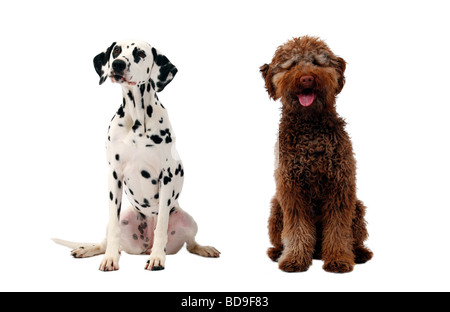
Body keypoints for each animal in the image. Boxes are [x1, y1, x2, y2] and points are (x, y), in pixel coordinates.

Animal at [53, 40, 219, 270]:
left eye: (140, 53)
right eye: (116, 50)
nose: (118, 64)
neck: (137, 120)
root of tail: (144, 246)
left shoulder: (166, 176)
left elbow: (162, 226)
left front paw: (158, 257)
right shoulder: (114, 176)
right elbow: (113, 230)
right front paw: (110, 259)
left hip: (188, 220)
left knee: (191, 243)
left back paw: (202, 248)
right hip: (123, 217)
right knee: (105, 240)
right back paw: (90, 249)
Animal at [260, 35, 372, 272]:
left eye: (317, 62)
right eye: (292, 64)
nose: (306, 79)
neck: (310, 127)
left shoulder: (340, 187)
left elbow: (338, 230)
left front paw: (339, 259)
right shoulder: (292, 190)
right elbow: (297, 229)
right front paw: (294, 259)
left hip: (357, 207)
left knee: (354, 237)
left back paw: (359, 253)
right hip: (276, 208)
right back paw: (277, 252)